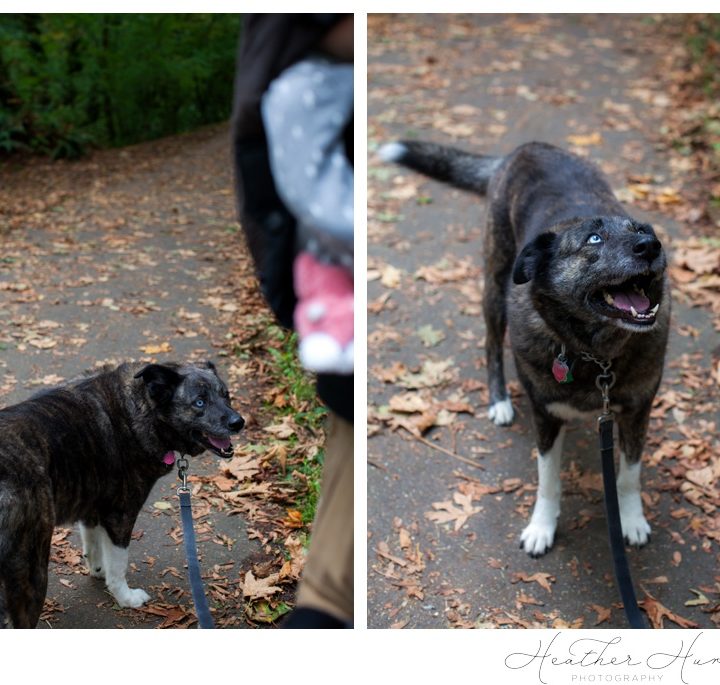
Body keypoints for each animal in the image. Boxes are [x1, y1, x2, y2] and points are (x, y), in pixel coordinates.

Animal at [0, 360, 243, 628]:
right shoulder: (121, 516)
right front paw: (125, 598)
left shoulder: (93, 508)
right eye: (200, 402)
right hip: (31, 573)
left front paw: (98, 570)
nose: (238, 422)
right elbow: (118, 565)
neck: (142, 408)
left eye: (226, 395)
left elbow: (93, 545)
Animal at [382, 138, 668, 556]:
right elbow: (547, 480)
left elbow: (629, 475)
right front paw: (541, 527)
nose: (651, 245)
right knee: (490, 345)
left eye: (640, 230)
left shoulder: (636, 411)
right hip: (495, 281)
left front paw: (631, 520)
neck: (593, 354)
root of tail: (529, 146)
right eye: (594, 239)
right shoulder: (545, 415)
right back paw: (499, 401)